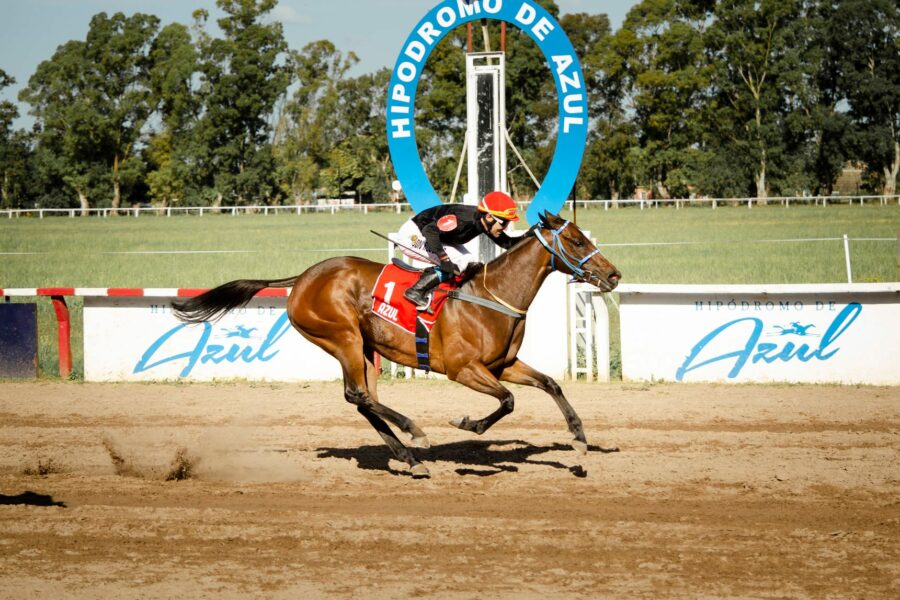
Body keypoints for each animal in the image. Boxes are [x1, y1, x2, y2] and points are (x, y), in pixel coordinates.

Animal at [172, 211, 620, 478]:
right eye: (576, 241)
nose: (614, 275)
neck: (493, 296)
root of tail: (302, 277)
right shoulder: (463, 369)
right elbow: (508, 401)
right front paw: (469, 424)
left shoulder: (502, 365)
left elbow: (550, 385)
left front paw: (580, 442)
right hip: (343, 336)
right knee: (358, 395)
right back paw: (415, 434)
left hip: (363, 347)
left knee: (363, 399)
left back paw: (409, 457)